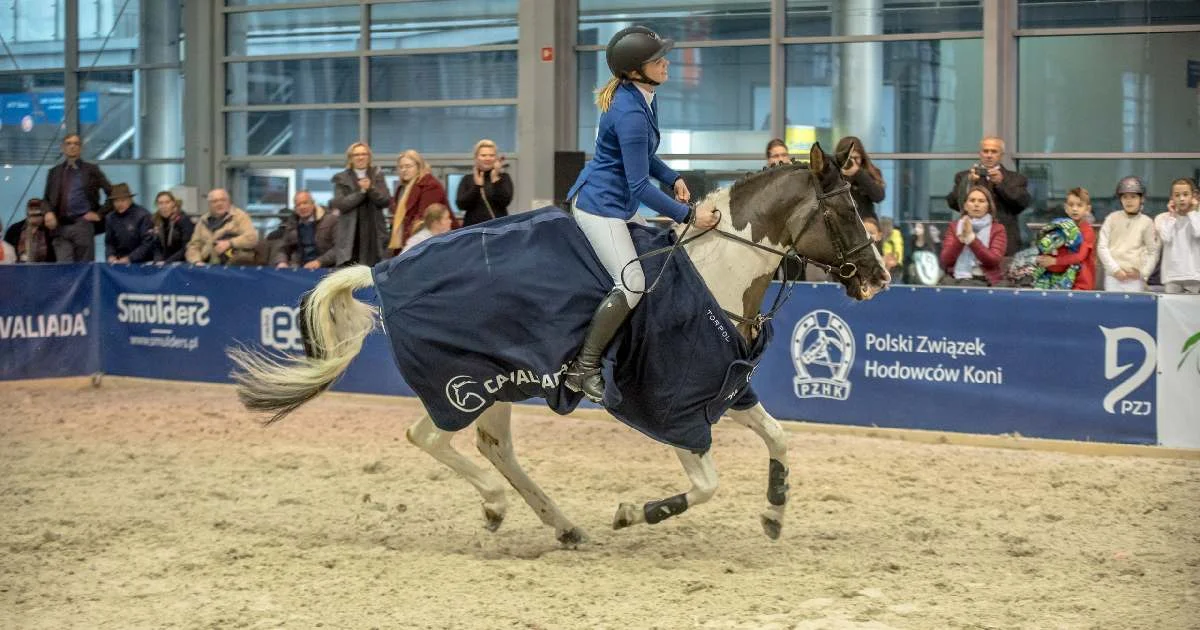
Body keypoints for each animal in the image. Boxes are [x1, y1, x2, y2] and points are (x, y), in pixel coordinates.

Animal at [229, 141, 888, 540]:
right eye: (843, 212)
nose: (879, 278)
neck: (716, 270)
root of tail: (385, 269)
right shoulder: (674, 405)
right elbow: (706, 484)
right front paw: (635, 512)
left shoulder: (722, 390)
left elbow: (781, 438)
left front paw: (774, 511)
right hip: (461, 383)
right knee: (430, 436)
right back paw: (496, 504)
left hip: (500, 381)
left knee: (494, 445)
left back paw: (561, 523)